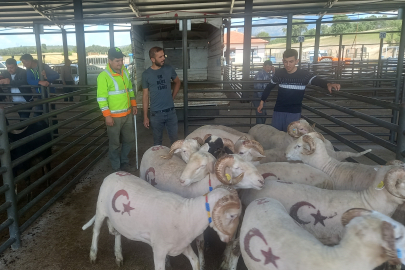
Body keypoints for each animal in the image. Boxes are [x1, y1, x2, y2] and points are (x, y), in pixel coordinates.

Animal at [81, 172, 240, 268]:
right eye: (232, 215)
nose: (231, 239)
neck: (187, 214)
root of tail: (113, 174)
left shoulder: (182, 246)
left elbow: (195, 261)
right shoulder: (159, 250)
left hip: (118, 219)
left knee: (118, 233)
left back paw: (119, 255)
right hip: (100, 209)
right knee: (96, 230)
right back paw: (93, 254)